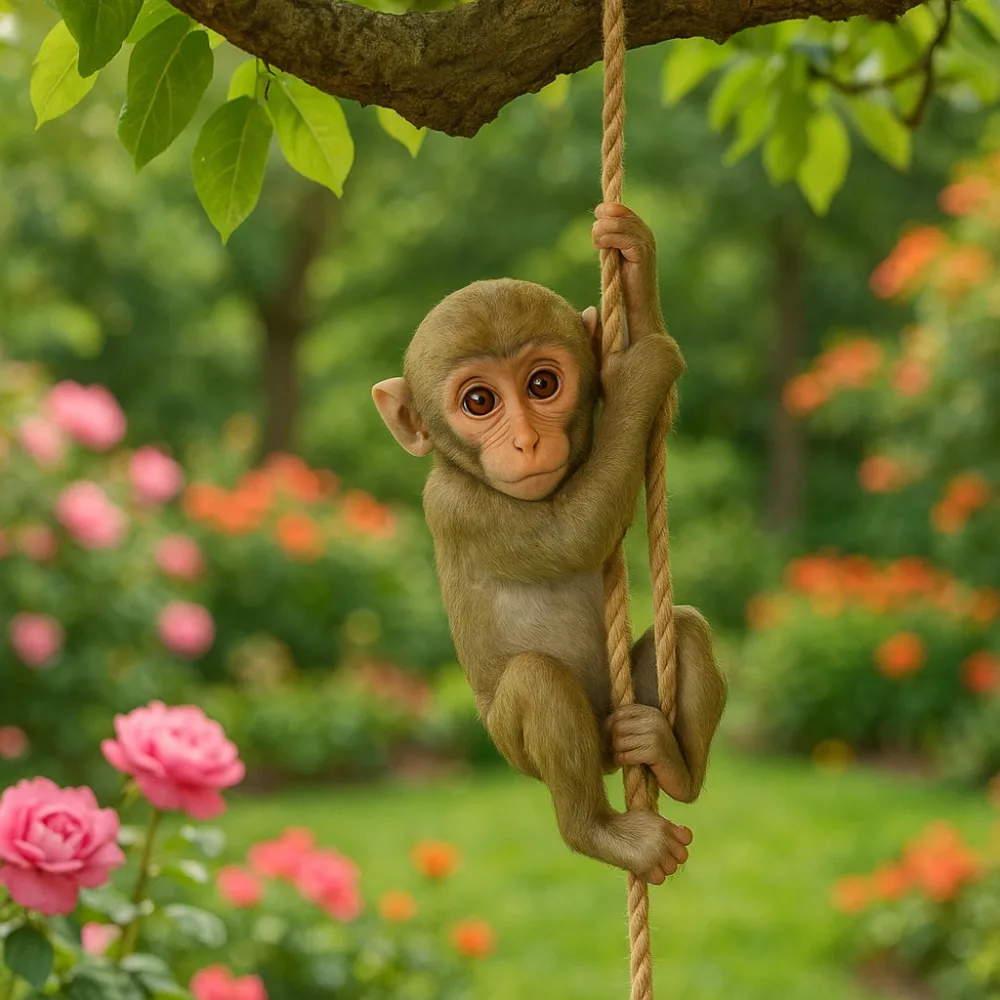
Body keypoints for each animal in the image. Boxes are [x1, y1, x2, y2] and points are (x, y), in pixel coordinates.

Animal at [372, 203, 727, 884]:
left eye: (542, 385)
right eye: (479, 400)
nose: (528, 442)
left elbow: (653, 429)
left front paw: (634, 263)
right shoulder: (456, 505)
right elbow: (573, 537)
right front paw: (637, 372)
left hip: (621, 711)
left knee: (689, 627)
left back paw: (673, 765)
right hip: (515, 746)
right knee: (538, 681)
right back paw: (602, 832)